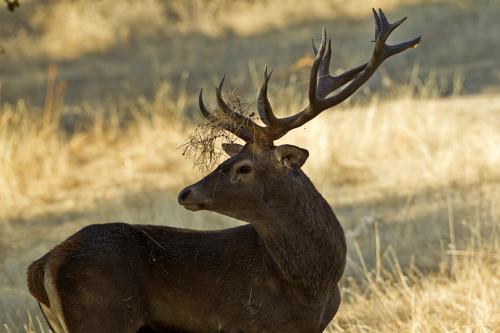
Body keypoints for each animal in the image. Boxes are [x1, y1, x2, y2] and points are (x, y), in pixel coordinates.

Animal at [26, 9, 418, 330]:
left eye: (242, 166)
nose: (186, 192)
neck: (310, 287)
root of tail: (40, 267)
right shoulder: (246, 325)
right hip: (103, 317)